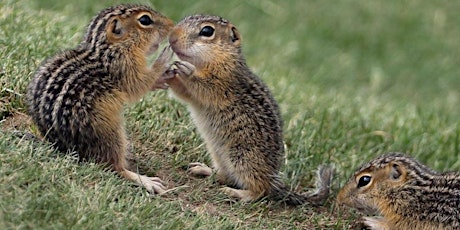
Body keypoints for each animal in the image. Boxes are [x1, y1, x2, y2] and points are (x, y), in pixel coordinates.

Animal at [26, 4, 174, 194]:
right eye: (145, 20)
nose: (172, 25)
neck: (108, 49)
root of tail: (65, 148)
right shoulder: (123, 66)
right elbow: (139, 84)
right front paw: (164, 59)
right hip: (109, 132)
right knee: (113, 166)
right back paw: (146, 181)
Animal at [160, 14, 332, 205]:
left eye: (207, 31)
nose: (172, 37)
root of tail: (273, 180)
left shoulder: (223, 81)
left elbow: (204, 86)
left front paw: (186, 70)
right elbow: (184, 93)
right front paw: (167, 70)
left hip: (243, 158)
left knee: (260, 191)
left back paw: (236, 193)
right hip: (220, 156)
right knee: (226, 176)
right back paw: (204, 170)